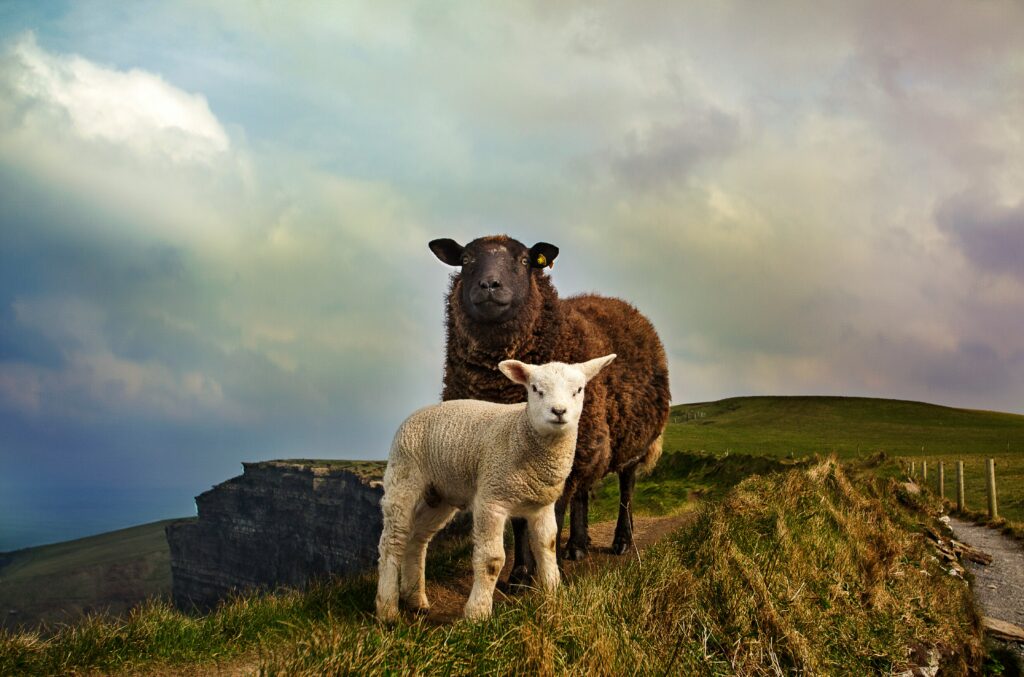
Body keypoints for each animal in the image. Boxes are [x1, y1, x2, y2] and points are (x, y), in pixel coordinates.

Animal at [375, 354, 617, 622]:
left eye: (579, 390)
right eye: (536, 389)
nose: (559, 411)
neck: (521, 433)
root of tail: (418, 412)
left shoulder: (542, 505)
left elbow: (547, 546)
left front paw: (553, 596)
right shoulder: (492, 499)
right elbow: (492, 559)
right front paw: (477, 613)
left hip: (440, 495)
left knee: (417, 539)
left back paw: (415, 600)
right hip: (403, 477)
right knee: (393, 541)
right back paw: (388, 610)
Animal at [428, 235, 671, 585]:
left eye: (524, 261)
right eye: (466, 259)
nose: (489, 285)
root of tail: (618, 302)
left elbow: (550, 518)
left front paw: (545, 575)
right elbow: (520, 522)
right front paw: (519, 574)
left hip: (630, 440)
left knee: (626, 488)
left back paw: (621, 541)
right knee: (584, 492)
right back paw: (577, 546)